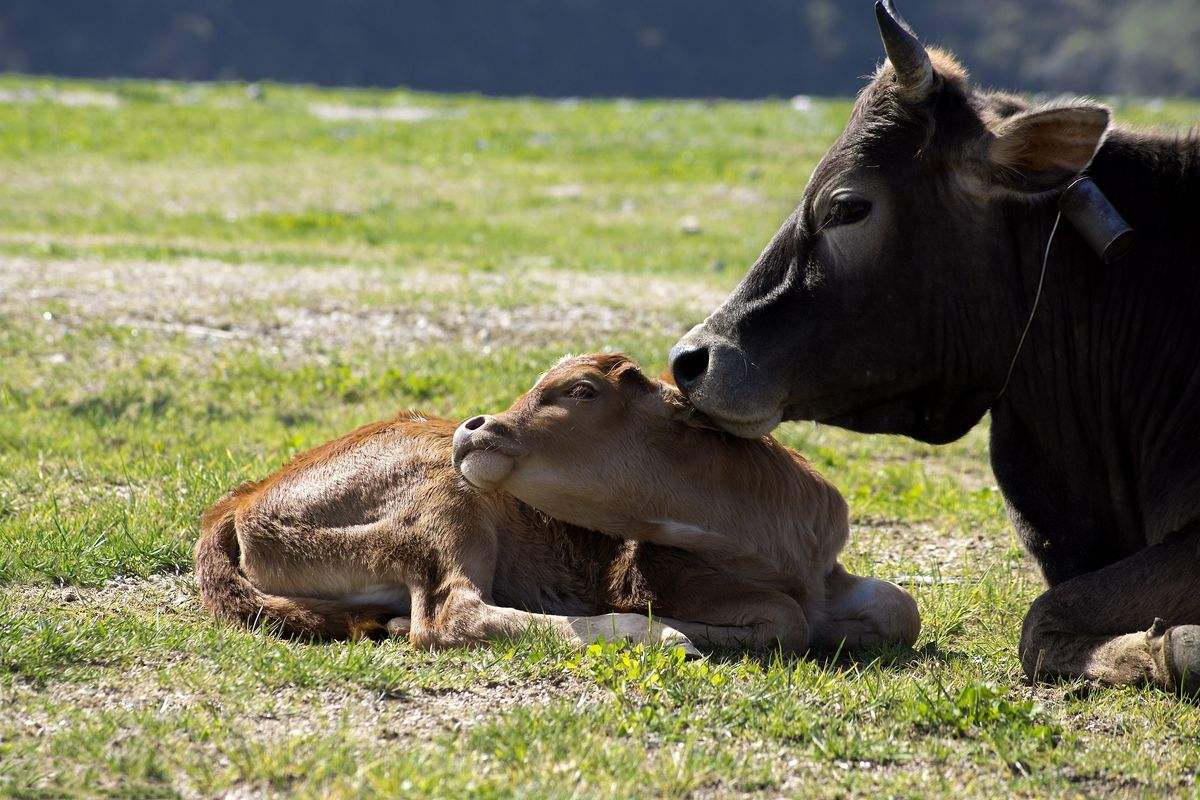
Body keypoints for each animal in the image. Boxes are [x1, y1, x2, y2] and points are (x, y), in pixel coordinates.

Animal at [194, 352, 916, 652]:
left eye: (582, 390)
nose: (474, 428)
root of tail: (233, 507)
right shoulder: (654, 572)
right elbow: (784, 622)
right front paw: (679, 629)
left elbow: (899, 607)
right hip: (446, 502)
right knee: (454, 615)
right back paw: (660, 637)